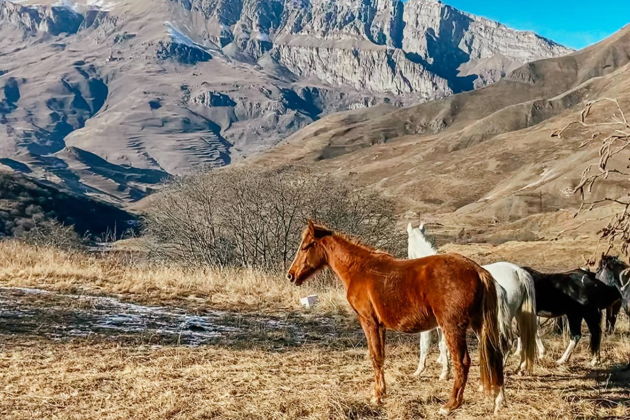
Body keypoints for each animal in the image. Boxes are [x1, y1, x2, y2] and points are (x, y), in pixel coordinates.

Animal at [287, 221, 505, 415]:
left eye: (306, 246)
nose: (291, 275)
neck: (359, 269)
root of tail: (477, 270)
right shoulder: (380, 327)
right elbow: (381, 356)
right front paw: (382, 392)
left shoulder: (369, 322)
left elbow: (375, 357)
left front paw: (376, 397)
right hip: (478, 326)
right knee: (494, 356)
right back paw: (497, 401)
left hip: (453, 327)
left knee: (463, 362)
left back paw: (450, 405)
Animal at [407, 223, 539, 377]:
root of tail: (518, 271)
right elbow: (442, 345)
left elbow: (425, 345)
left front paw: (422, 370)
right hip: (517, 315)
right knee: (522, 338)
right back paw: (518, 368)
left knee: (507, 342)